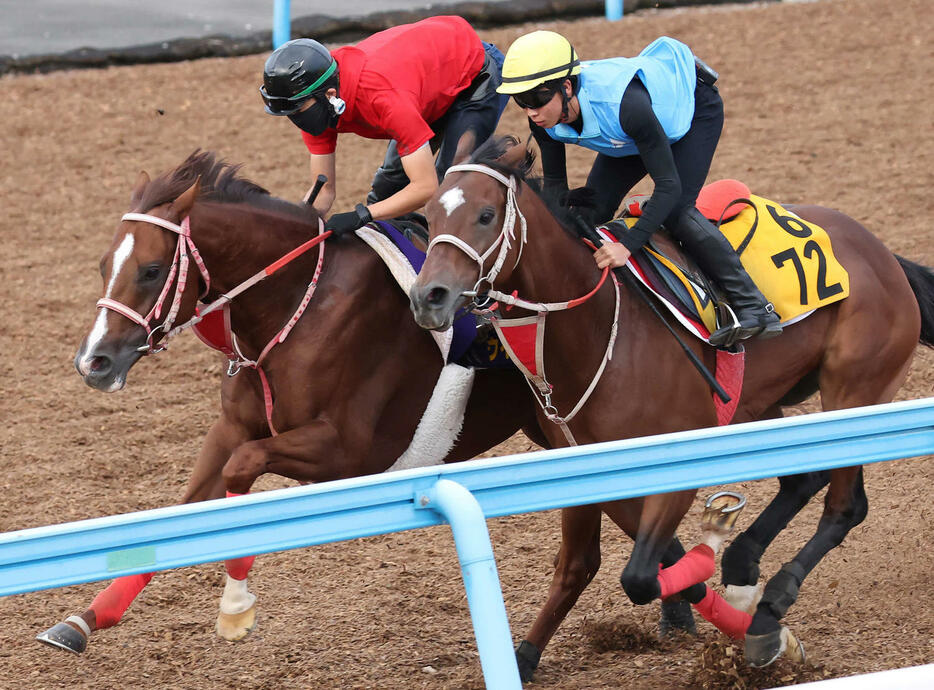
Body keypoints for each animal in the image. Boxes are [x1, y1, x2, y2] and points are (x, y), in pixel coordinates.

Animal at [40, 150, 544, 656]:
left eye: (151, 270)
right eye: (104, 265)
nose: (92, 362)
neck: (295, 305)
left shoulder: (349, 454)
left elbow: (240, 469)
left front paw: (235, 607)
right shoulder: (231, 427)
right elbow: (181, 512)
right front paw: (83, 620)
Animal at [412, 136, 934, 676]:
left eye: (486, 215)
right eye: (428, 214)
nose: (429, 297)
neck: (597, 331)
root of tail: (885, 255)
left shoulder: (675, 460)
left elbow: (641, 575)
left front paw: (734, 591)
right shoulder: (584, 466)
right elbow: (580, 566)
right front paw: (524, 657)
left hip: (853, 389)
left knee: (844, 506)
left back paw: (770, 605)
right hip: (755, 403)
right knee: (803, 478)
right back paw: (743, 568)